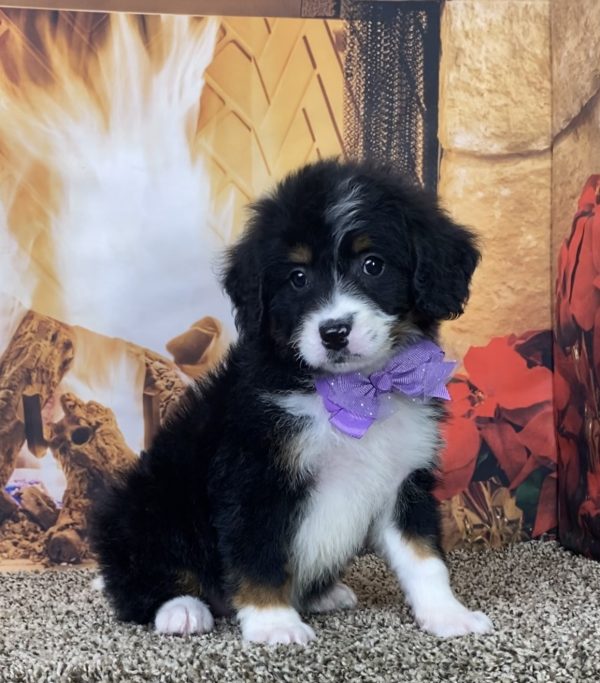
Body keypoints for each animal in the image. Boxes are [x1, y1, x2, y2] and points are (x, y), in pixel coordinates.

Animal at [90, 160, 492, 648]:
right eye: (298, 277)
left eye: (372, 265)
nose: (334, 332)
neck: (356, 392)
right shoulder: (255, 476)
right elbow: (260, 554)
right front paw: (273, 623)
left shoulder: (405, 478)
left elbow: (424, 558)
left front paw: (449, 615)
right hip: (153, 501)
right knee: (139, 582)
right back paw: (181, 609)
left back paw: (323, 593)